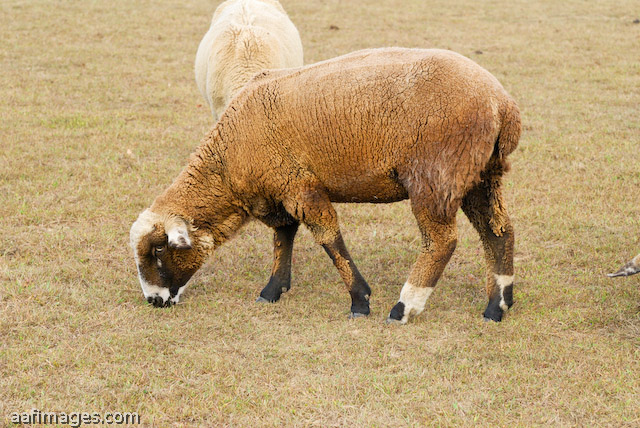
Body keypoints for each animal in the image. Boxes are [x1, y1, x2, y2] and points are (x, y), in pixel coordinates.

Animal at [132, 47, 524, 320]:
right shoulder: (280, 190)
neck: (227, 168)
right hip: (479, 176)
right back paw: (497, 306)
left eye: (159, 250)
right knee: (499, 232)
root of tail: (503, 105)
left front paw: (360, 300)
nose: (154, 301)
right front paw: (273, 289)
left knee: (442, 241)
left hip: (435, 176)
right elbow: (284, 236)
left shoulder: (301, 186)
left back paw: (405, 306)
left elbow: (328, 238)